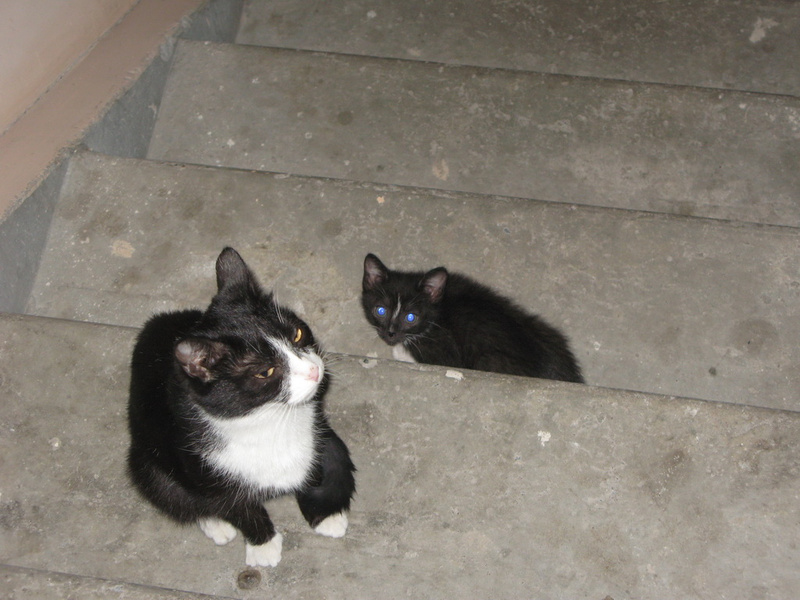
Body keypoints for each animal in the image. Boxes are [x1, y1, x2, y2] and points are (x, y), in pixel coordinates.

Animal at [127, 247, 356, 568]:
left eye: (297, 334)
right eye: (265, 372)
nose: (314, 371)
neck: (268, 419)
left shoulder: (317, 428)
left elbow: (317, 466)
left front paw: (325, 512)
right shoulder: (202, 466)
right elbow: (237, 508)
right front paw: (263, 545)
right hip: (146, 461)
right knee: (169, 491)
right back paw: (215, 524)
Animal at [361, 253, 584, 383]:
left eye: (410, 317)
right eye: (380, 311)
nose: (390, 333)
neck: (439, 309)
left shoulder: (445, 351)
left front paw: (401, 350)